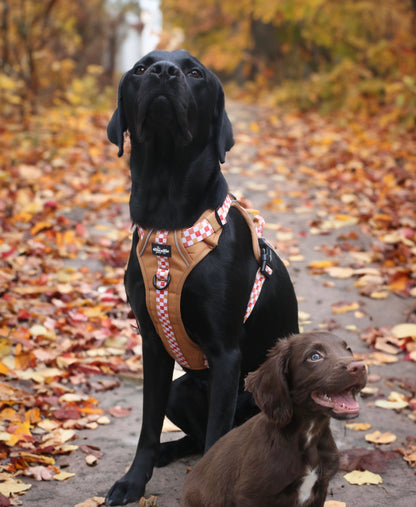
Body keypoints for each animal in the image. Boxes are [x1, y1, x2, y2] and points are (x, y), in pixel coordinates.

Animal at [104, 48, 300, 507]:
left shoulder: (226, 352)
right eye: (141, 68)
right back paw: (168, 453)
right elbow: (148, 426)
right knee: (190, 437)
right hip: (182, 392)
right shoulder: (152, 342)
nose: (164, 72)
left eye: (195, 73)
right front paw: (132, 482)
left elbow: (216, 440)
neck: (169, 219)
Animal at [182, 334, 368, 507]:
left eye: (348, 349)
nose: (360, 367)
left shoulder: (321, 487)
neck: (309, 435)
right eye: (315, 356)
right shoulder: (250, 495)